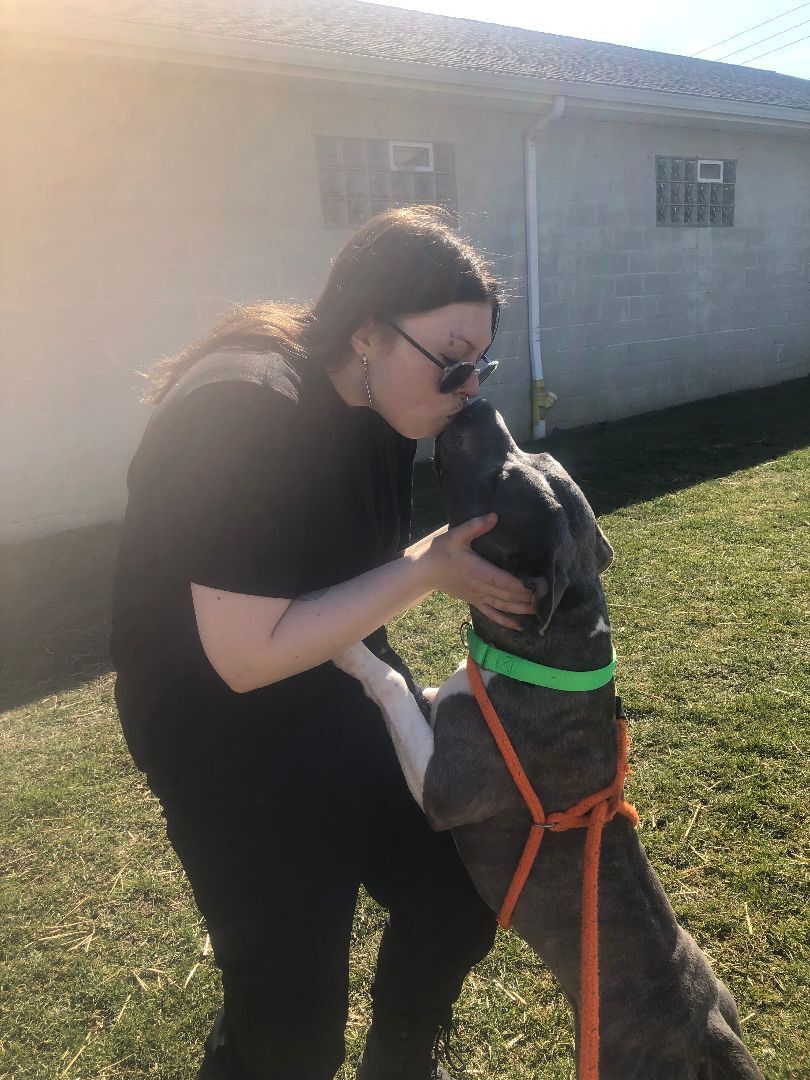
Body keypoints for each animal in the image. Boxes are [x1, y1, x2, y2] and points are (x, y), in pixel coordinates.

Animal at [336, 399, 768, 1080]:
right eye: (527, 454)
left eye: (497, 485)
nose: (478, 401)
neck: (553, 645)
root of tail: (707, 1028)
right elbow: (415, 687)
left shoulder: (443, 790)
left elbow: (390, 683)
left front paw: (351, 648)